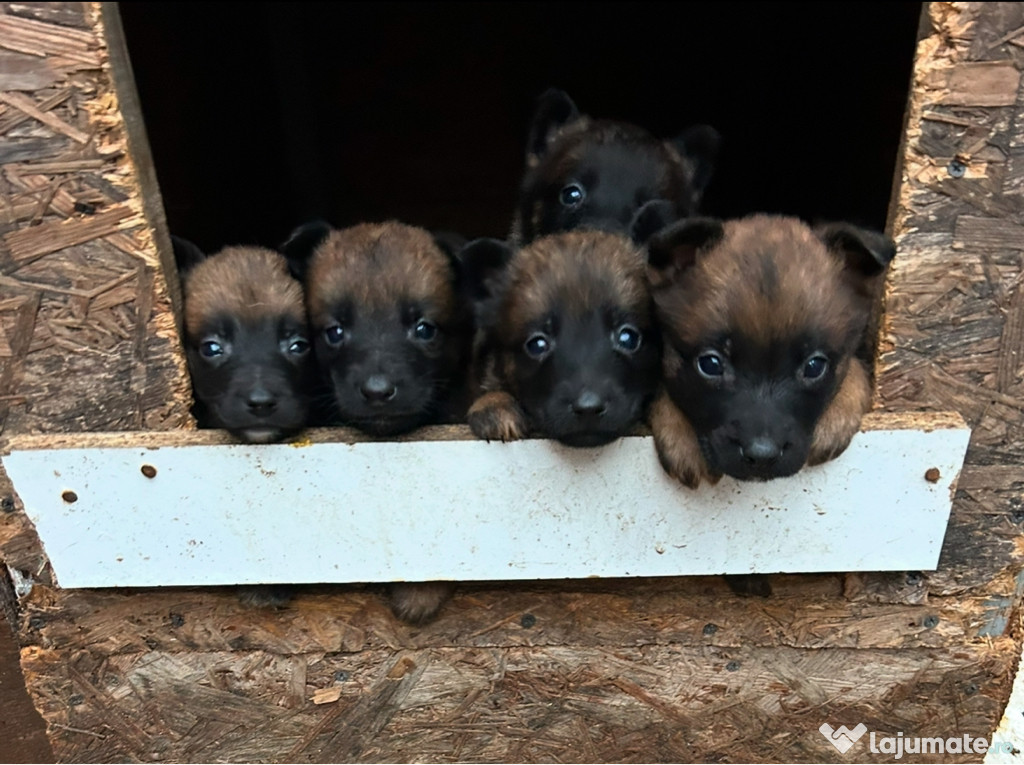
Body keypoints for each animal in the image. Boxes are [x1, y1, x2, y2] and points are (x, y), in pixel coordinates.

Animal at [647, 214, 897, 491]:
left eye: (814, 367)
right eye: (710, 364)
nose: (761, 457)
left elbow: (855, 368)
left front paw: (840, 409)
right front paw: (679, 432)